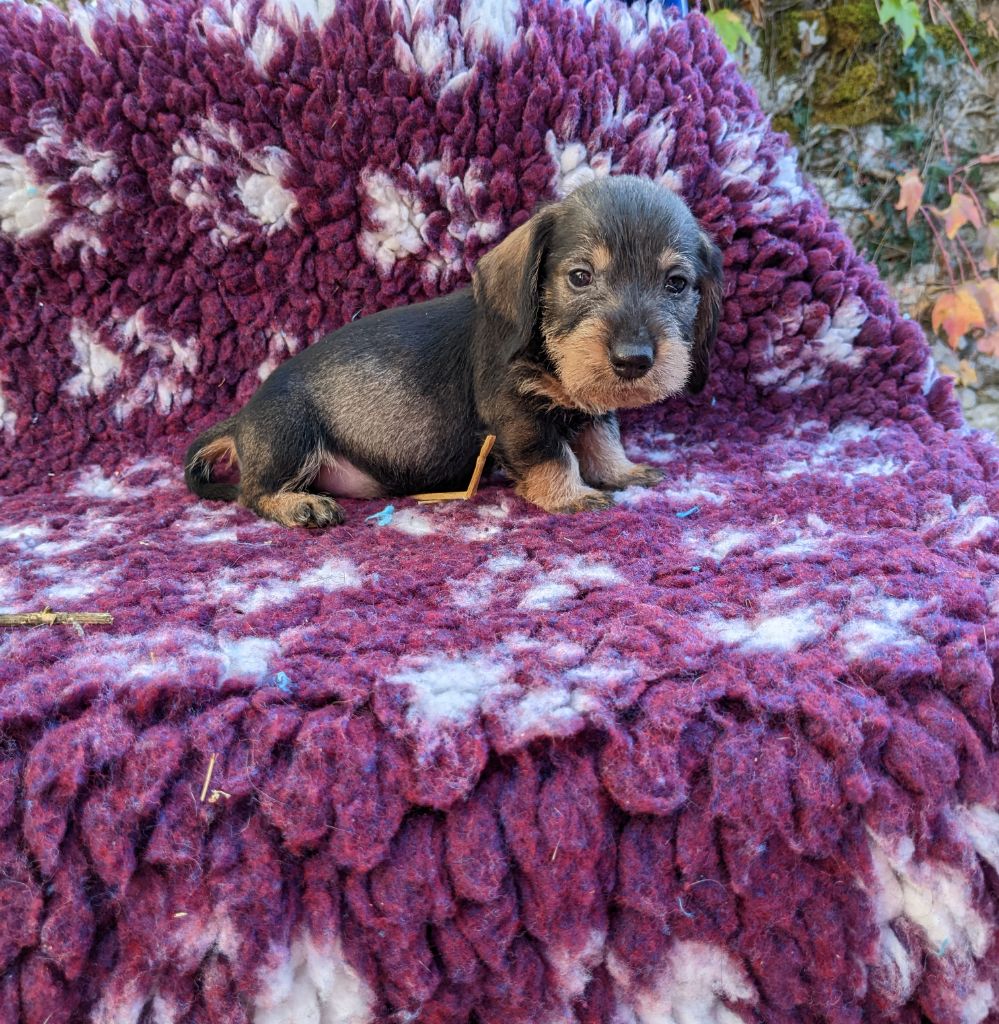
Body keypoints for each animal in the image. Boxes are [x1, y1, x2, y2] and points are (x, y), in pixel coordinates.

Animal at [184, 175, 723, 527]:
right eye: (580, 276)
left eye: (677, 284)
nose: (634, 361)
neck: (544, 349)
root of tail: (242, 419)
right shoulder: (516, 413)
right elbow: (554, 454)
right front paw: (570, 495)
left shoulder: (588, 404)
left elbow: (603, 438)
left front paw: (623, 472)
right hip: (290, 432)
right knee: (252, 493)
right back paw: (300, 505)